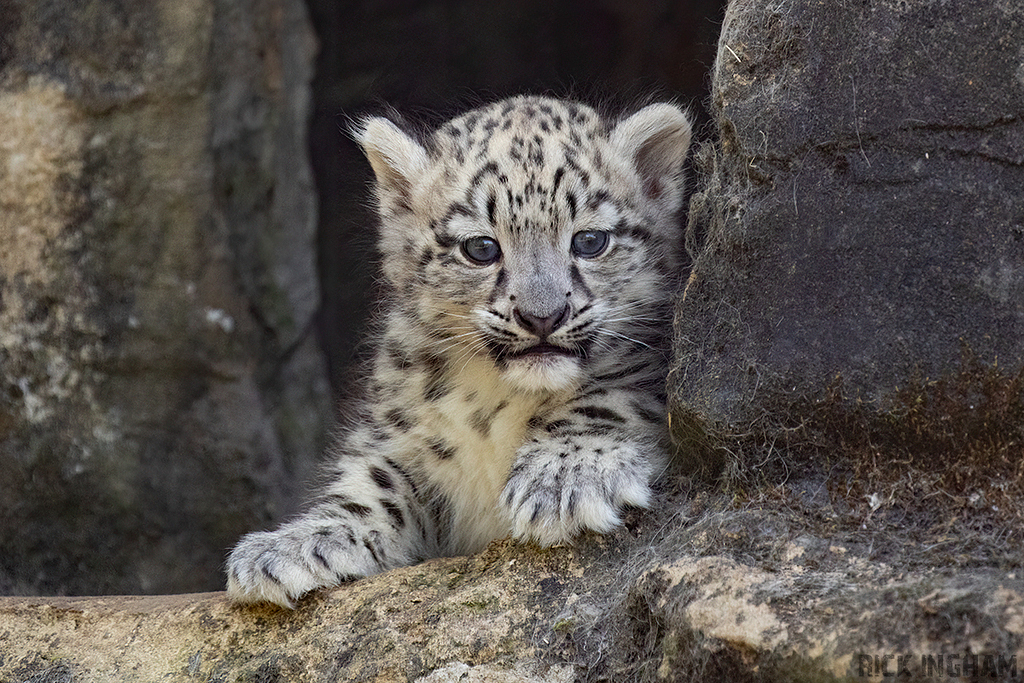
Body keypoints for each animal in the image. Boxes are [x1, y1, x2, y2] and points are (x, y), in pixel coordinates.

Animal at [226, 95, 692, 607]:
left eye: (590, 241)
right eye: (482, 248)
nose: (542, 317)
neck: (500, 403)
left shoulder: (647, 369)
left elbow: (614, 399)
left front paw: (567, 477)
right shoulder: (399, 432)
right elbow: (371, 483)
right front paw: (291, 547)